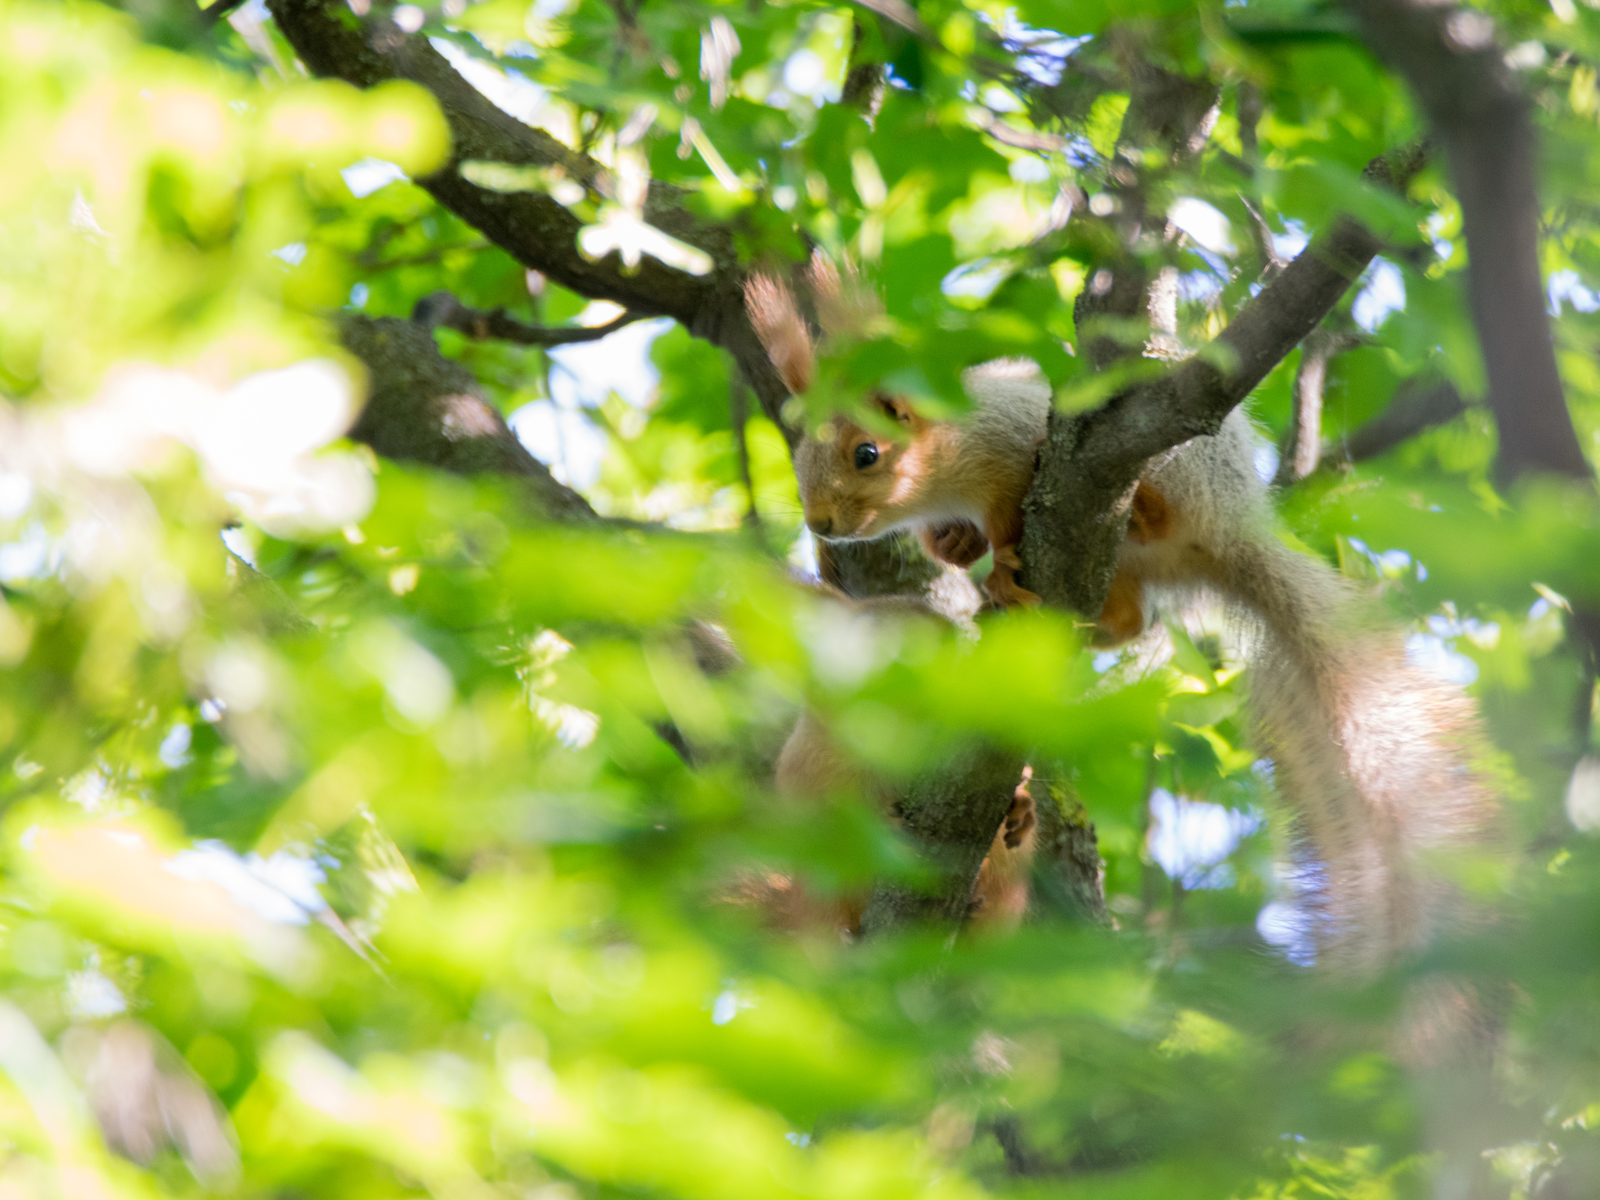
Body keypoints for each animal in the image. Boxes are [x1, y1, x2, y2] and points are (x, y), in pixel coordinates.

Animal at [742, 256, 1491, 966]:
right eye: (802, 454)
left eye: (866, 454)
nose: (821, 523)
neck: (951, 464)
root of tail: (1236, 523)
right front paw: (960, 549)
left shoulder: (1008, 439)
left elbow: (1010, 497)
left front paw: (1000, 555)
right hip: (1125, 569)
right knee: (1134, 620)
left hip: (1184, 472)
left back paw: (1138, 513)